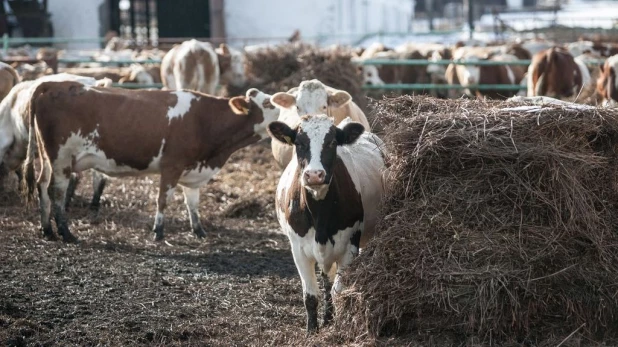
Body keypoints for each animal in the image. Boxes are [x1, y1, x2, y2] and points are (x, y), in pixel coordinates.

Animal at [21, 83, 276, 242]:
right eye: (269, 104)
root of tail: (52, 84)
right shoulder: (172, 165)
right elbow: (163, 200)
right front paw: (158, 232)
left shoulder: (192, 170)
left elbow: (192, 203)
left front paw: (199, 231)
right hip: (62, 159)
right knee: (57, 192)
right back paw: (66, 233)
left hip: (49, 158)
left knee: (42, 186)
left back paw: (47, 230)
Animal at [268, 115, 382, 334]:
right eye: (299, 143)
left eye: (332, 142)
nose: (314, 175)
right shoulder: (298, 250)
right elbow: (311, 295)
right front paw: (312, 330)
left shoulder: (350, 245)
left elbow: (339, 291)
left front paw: (338, 326)